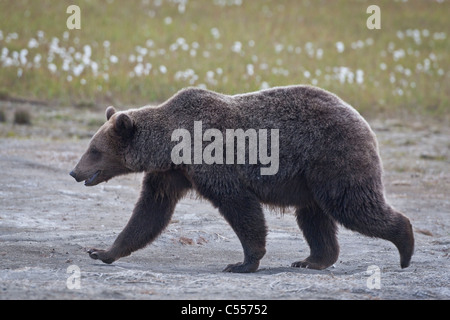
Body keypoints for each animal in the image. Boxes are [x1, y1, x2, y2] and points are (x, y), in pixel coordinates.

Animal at [70, 85, 414, 272]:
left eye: (94, 150)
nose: (75, 172)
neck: (171, 146)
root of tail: (361, 118)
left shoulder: (212, 160)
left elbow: (240, 206)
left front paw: (242, 262)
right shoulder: (172, 173)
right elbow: (149, 213)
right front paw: (102, 251)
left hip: (333, 158)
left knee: (353, 205)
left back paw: (406, 246)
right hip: (309, 179)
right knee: (314, 217)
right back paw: (312, 259)